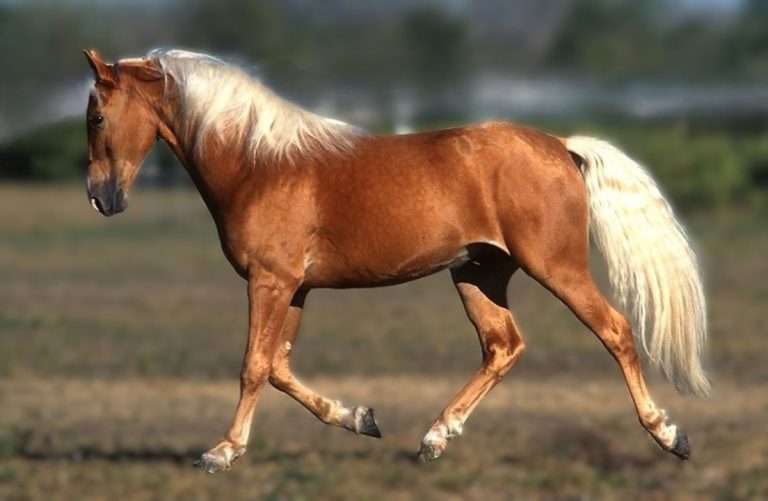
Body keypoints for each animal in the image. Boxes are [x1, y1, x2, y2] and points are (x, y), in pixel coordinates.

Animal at [83, 49, 708, 473]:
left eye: (96, 117)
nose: (101, 199)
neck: (259, 164)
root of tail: (562, 145)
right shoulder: (294, 288)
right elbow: (280, 366)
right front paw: (359, 418)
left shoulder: (270, 282)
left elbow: (254, 365)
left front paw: (222, 451)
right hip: (477, 273)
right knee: (503, 345)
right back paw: (436, 436)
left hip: (557, 268)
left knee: (616, 330)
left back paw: (669, 435)